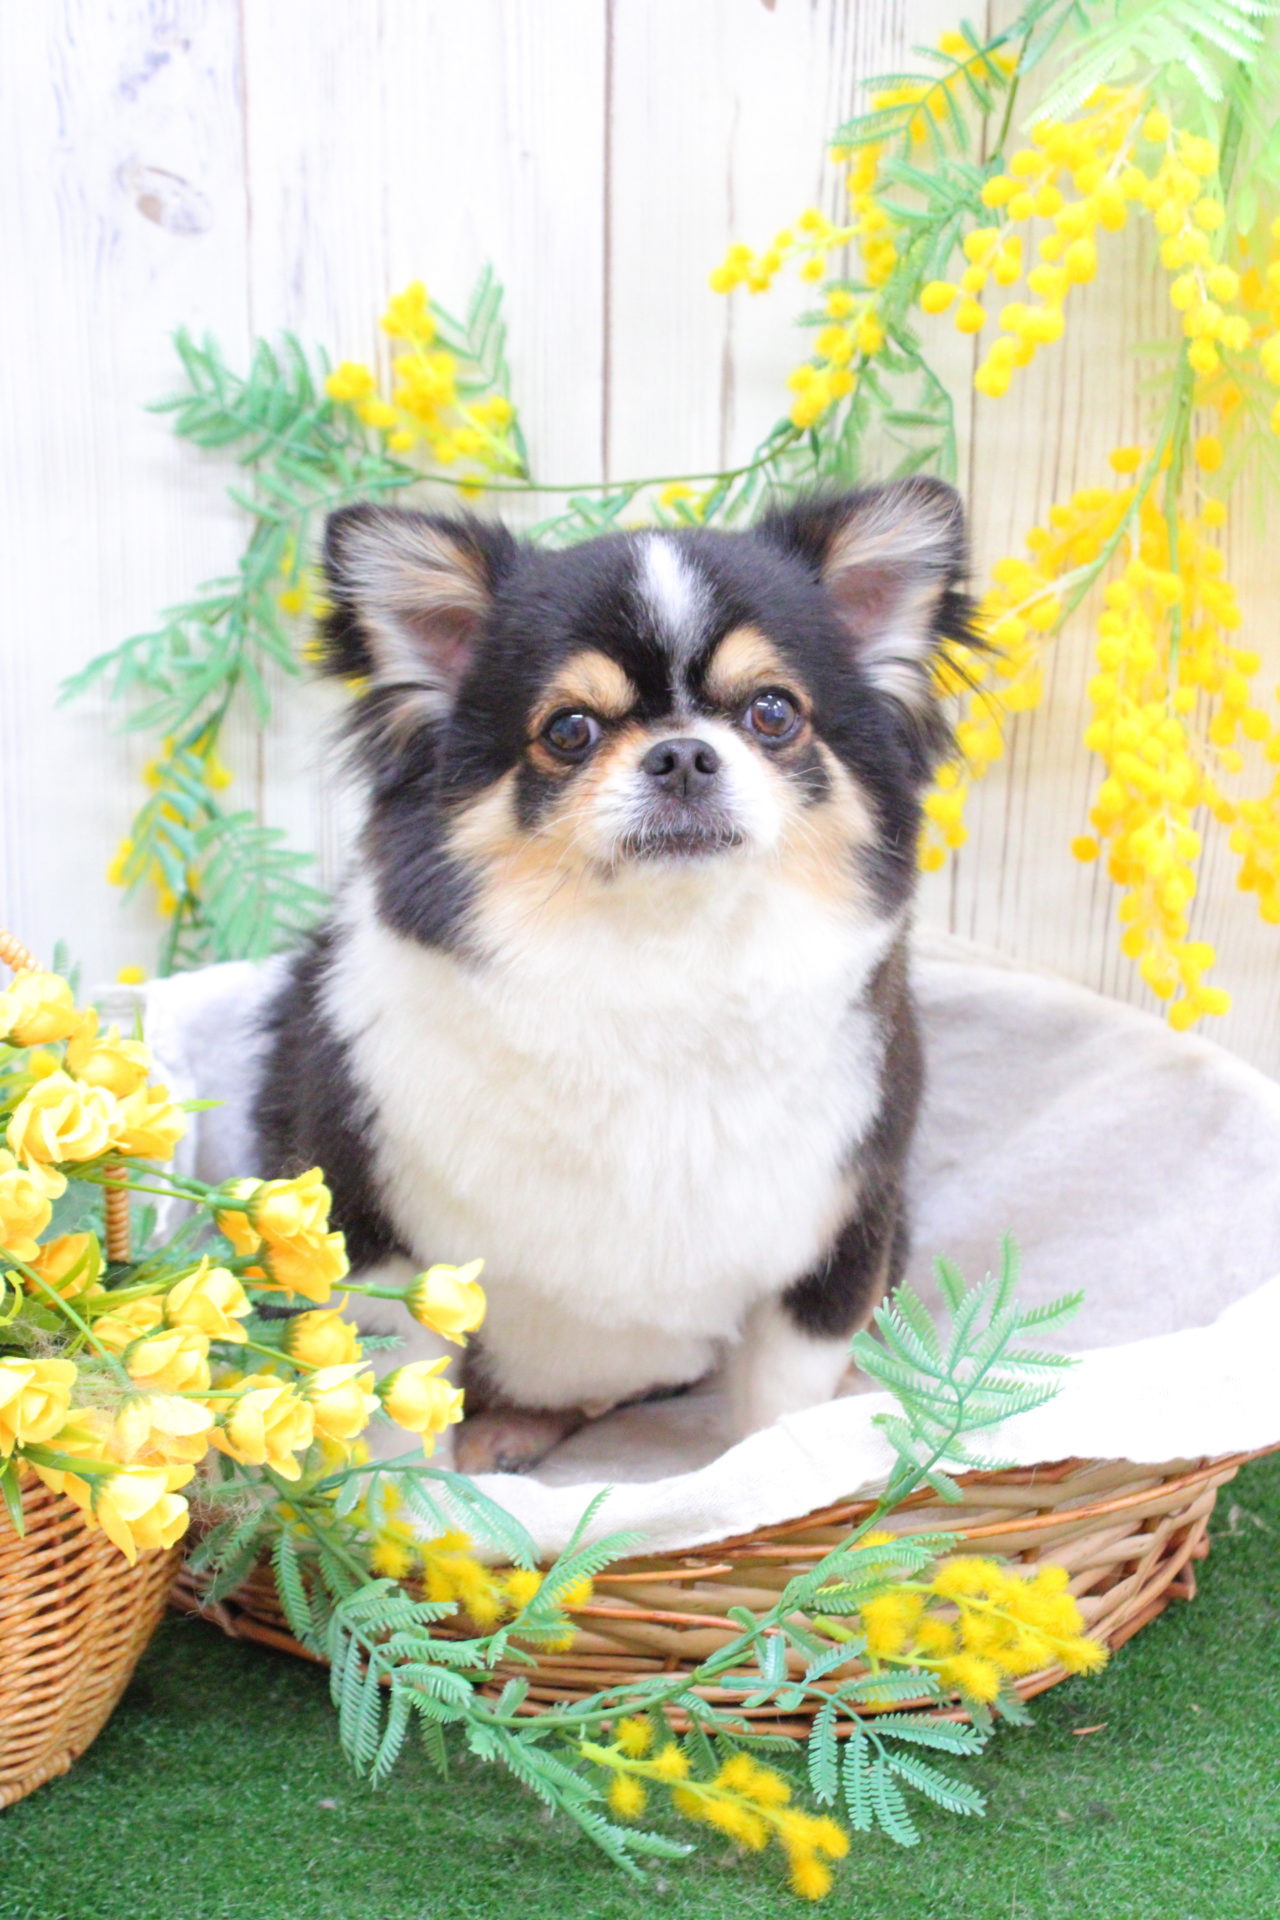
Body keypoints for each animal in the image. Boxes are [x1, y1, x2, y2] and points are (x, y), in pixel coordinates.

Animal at [254, 479, 973, 1471]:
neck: (658, 969)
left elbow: (778, 1412)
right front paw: (420, 1500)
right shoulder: (377, 1252)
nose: (682, 752)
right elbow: (402, 1429)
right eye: (569, 729)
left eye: (773, 713)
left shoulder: (837, 1243)